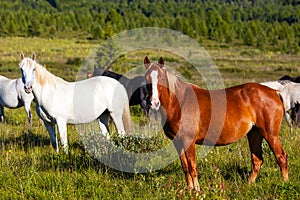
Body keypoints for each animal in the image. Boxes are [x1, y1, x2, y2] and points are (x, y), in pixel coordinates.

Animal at [143, 55, 288, 191]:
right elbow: (185, 167)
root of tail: (274, 92)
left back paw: (285, 184)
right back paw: (249, 185)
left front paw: (197, 190)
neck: (180, 103)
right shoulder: (177, 142)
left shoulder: (188, 140)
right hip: (254, 134)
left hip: (270, 134)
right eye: (146, 78)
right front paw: (189, 189)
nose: (153, 102)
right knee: (257, 160)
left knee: (281, 157)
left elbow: (192, 166)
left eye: (162, 79)